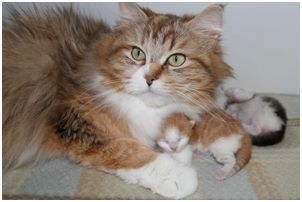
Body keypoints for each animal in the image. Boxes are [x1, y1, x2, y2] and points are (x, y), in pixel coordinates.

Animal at [2, 2, 231, 199]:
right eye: (137, 53)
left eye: (176, 59)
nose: (149, 79)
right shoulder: (75, 119)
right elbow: (127, 151)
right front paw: (180, 176)